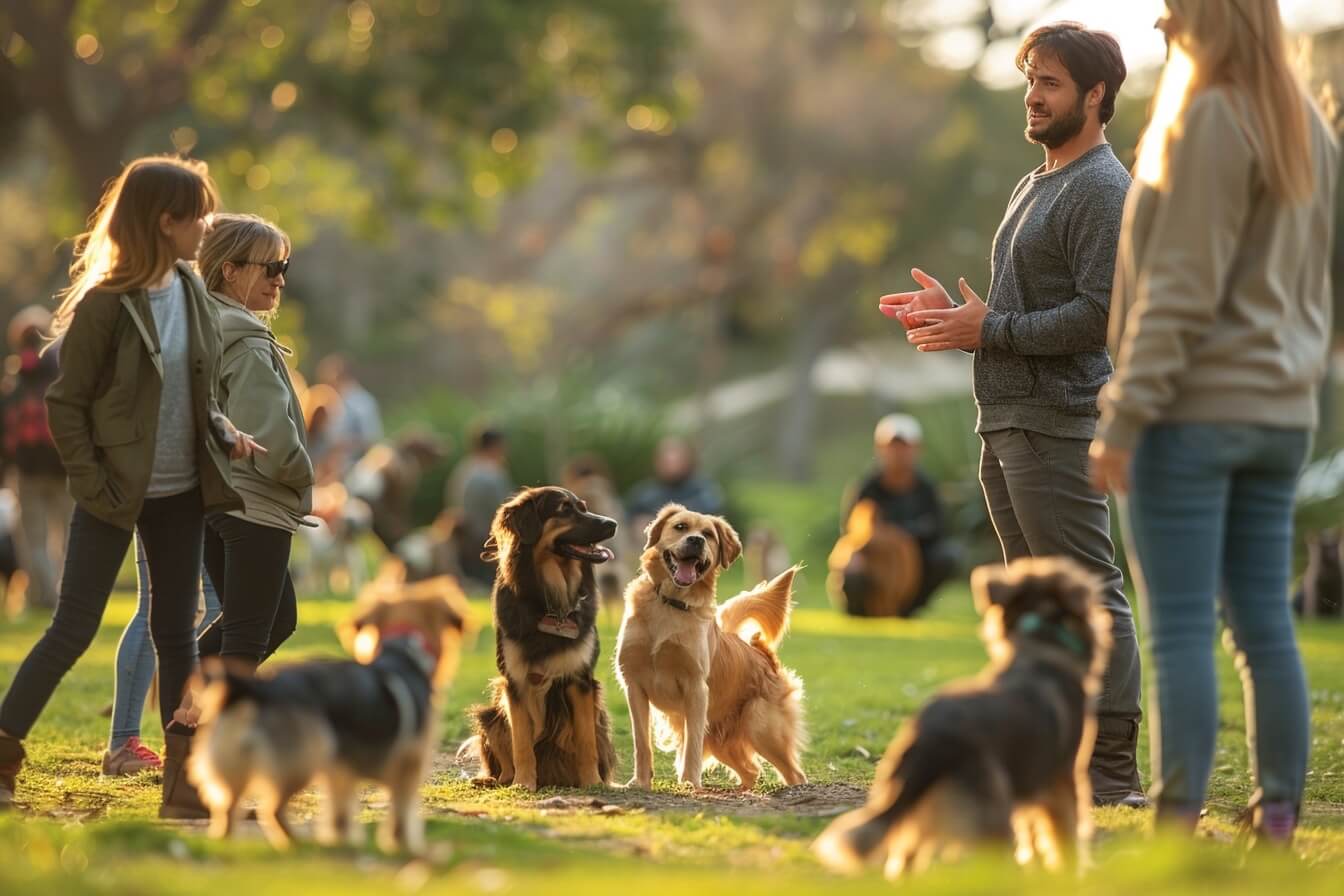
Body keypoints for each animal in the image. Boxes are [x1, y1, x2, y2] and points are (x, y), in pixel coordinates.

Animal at [462, 486, 618, 789]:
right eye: (565, 509)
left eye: (583, 507)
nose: (612, 523)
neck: (551, 603)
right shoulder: (515, 682)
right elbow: (521, 744)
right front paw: (523, 783)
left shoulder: (580, 681)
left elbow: (586, 741)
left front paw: (592, 782)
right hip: (490, 715)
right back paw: (497, 780)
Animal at [615, 505, 801, 789]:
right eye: (680, 527)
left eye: (708, 535)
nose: (696, 540)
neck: (671, 604)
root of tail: (759, 654)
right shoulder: (634, 685)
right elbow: (641, 743)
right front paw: (640, 782)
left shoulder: (696, 689)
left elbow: (692, 745)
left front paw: (690, 783)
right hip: (725, 742)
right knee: (751, 771)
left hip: (761, 726)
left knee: (794, 773)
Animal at [806, 556, 1112, 881]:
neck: (1039, 647)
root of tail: (932, 738)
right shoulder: (1062, 778)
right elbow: (1064, 836)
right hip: (991, 811)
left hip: (919, 808)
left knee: (905, 859)